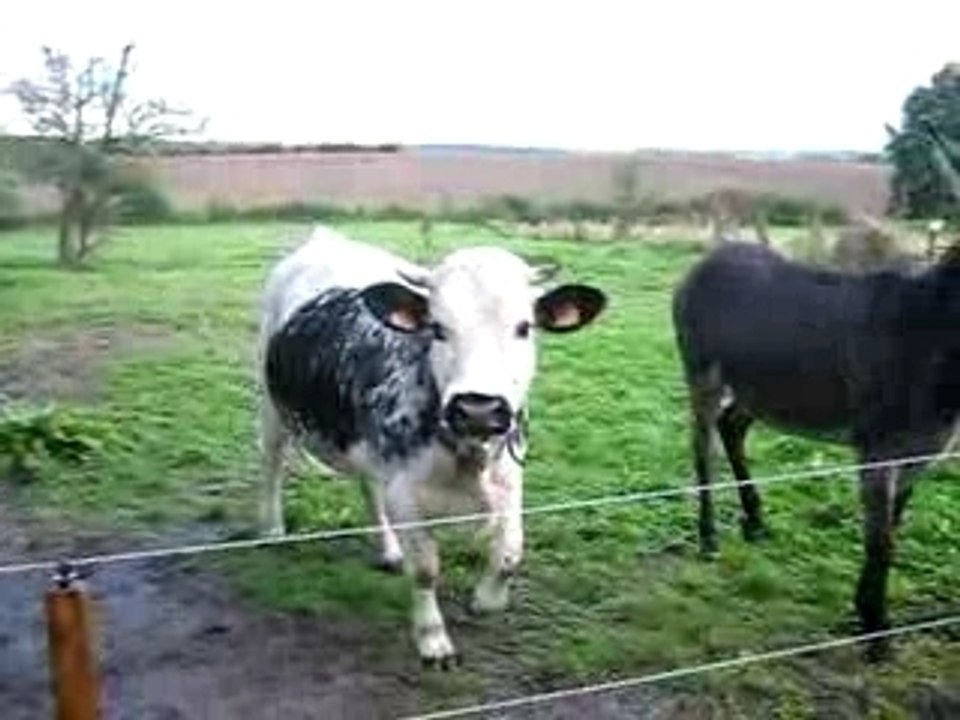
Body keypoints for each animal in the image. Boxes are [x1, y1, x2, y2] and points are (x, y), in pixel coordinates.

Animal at [256, 225, 607, 665]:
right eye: (437, 328)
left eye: (524, 327)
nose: (478, 409)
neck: (465, 457)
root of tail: (326, 238)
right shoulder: (405, 493)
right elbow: (424, 569)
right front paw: (432, 640)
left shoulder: (510, 477)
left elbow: (511, 552)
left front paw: (487, 599)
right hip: (271, 403)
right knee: (271, 464)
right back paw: (272, 529)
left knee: (368, 487)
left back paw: (388, 550)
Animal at [672, 240, 959, 660]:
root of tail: (714, 255)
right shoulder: (878, 452)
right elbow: (881, 543)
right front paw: (876, 630)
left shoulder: (919, 454)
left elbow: (890, 533)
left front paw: (867, 614)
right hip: (703, 373)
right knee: (702, 448)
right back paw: (708, 538)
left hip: (760, 389)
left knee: (732, 427)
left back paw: (755, 520)